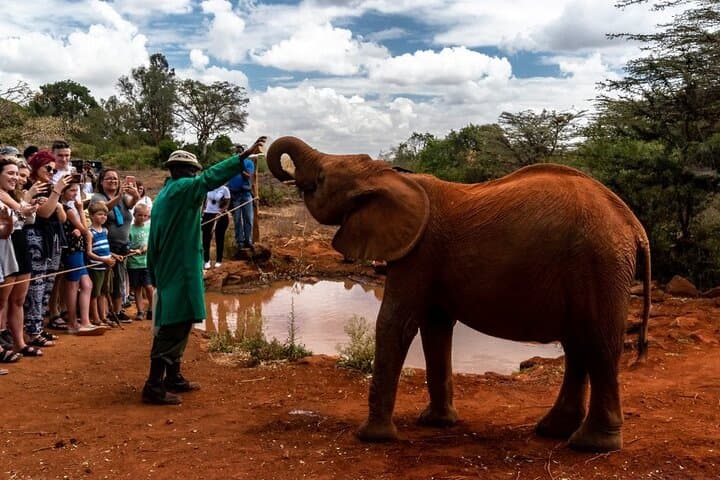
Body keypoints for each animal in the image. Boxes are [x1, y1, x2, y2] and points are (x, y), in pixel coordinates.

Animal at [266, 136, 651, 453]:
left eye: (321, 180)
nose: (284, 175)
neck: (388, 176)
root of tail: (634, 226)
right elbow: (435, 327)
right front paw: (435, 423)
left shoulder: (418, 252)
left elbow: (395, 324)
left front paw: (371, 437)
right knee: (577, 344)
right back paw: (552, 431)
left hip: (599, 262)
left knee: (598, 343)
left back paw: (591, 445)